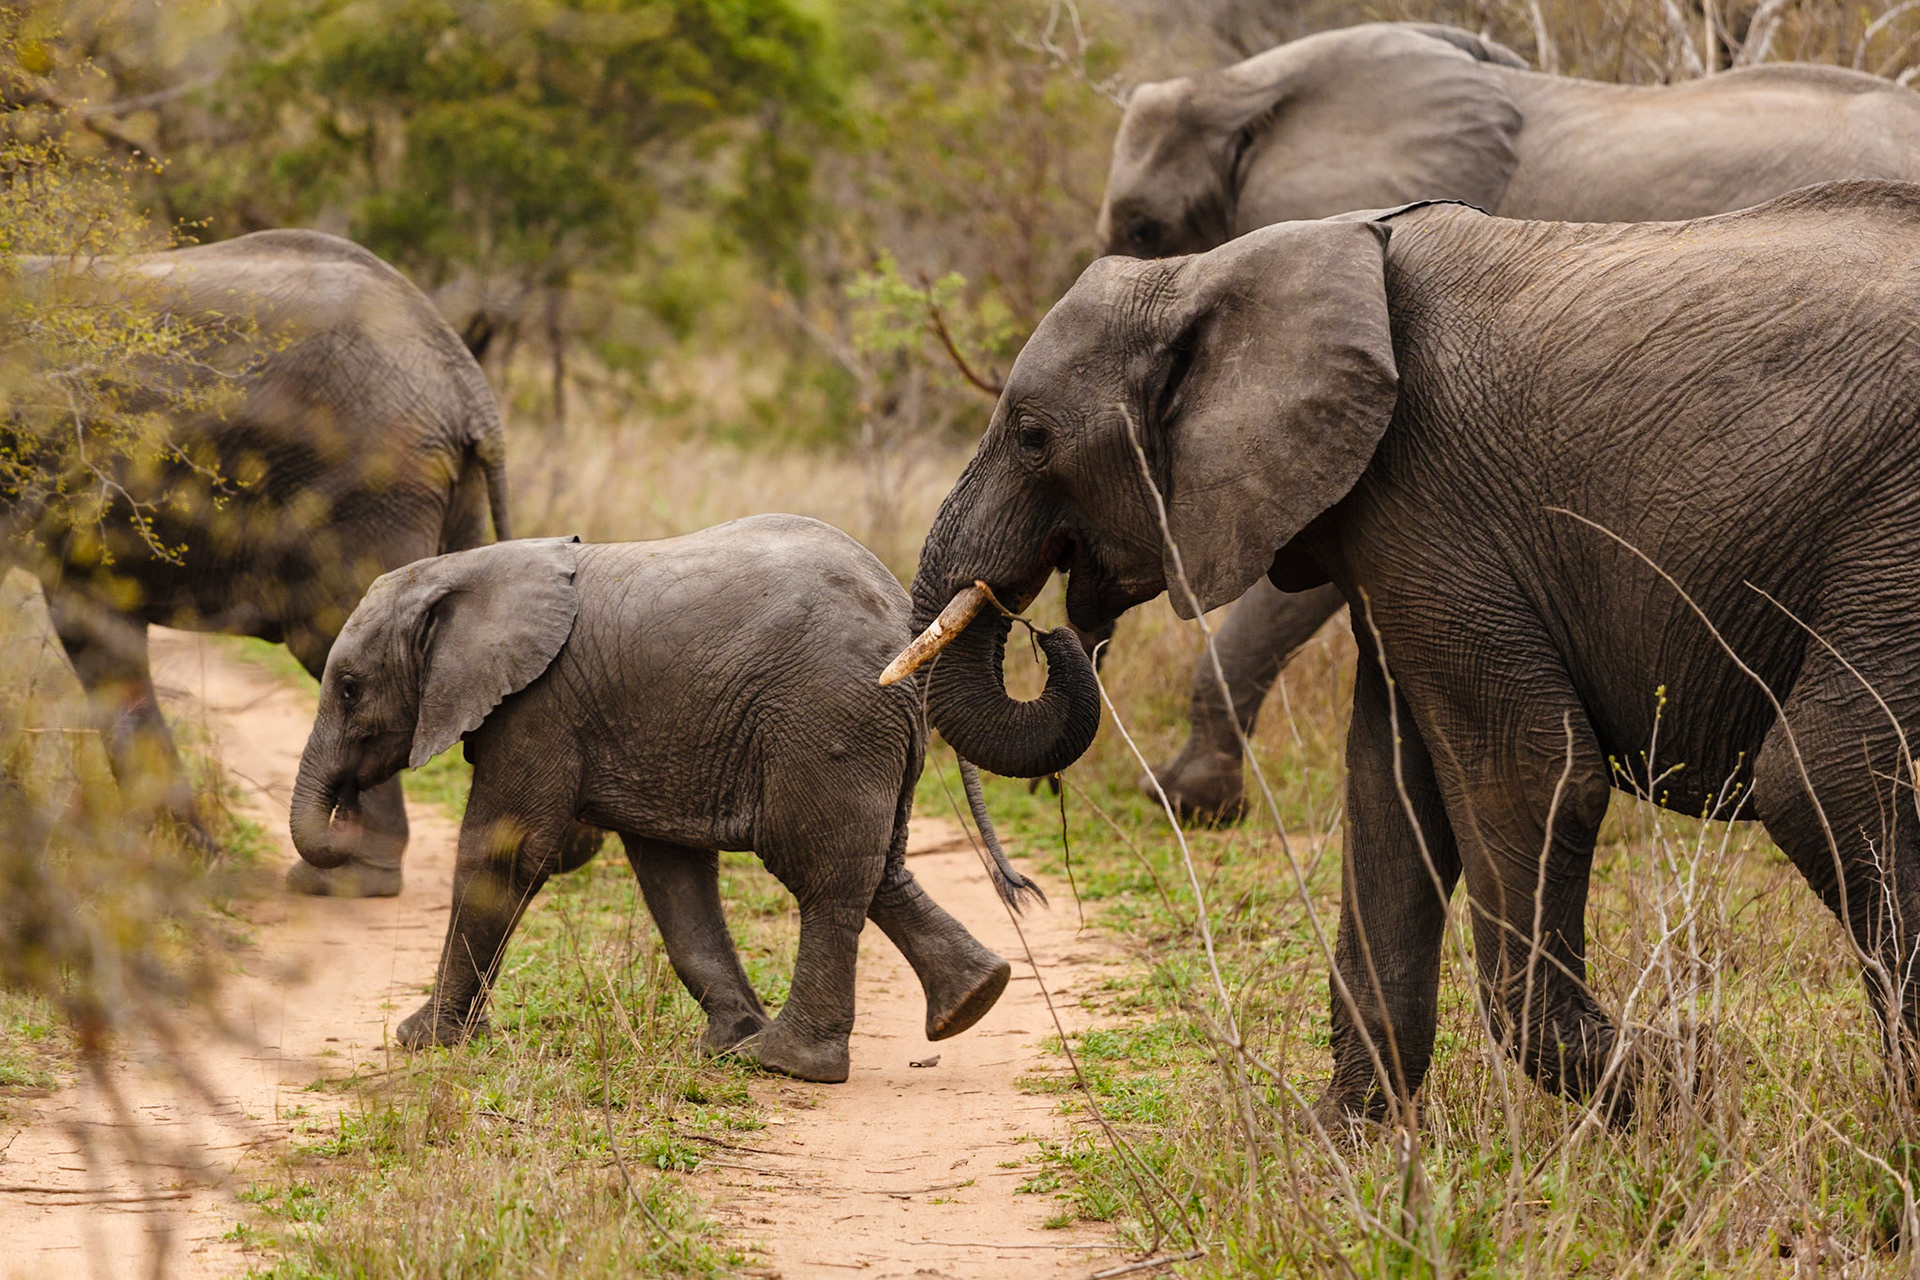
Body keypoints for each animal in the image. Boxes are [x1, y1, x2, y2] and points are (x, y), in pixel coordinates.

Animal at [289, 518, 1035, 1083]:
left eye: (350, 688)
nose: (348, 809)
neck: (466, 571)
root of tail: (906, 621)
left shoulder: (538, 708)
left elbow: (504, 855)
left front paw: (419, 1041)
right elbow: (673, 875)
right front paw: (726, 1044)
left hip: (828, 720)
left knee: (820, 873)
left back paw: (788, 1064)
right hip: (863, 732)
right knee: (877, 868)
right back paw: (972, 1000)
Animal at [889, 180, 1920, 1121]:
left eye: (1031, 437)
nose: (1058, 631)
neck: (1215, 273)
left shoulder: (1429, 502)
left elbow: (1524, 776)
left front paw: (1687, 1088)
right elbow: (1390, 791)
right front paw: (1337, 1144)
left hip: (1892, 528)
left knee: (1826, 775)